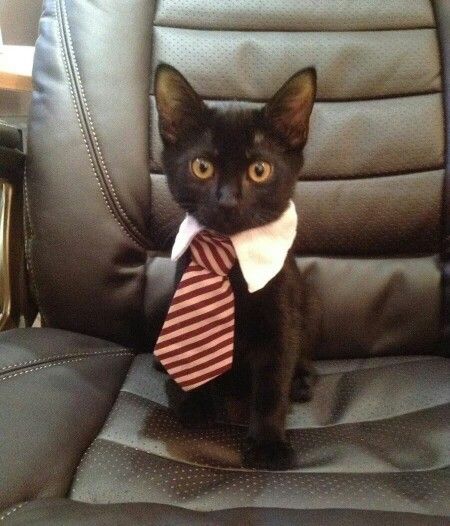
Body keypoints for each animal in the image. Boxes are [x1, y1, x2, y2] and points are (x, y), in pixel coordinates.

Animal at [155, 64, 320, 472]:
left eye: (259, 170)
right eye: (202, 167)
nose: (228, 200)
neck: (230, 263)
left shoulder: (281, 323)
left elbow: (273, 384)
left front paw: (268, 443)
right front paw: (194, 402)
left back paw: (302, 380)